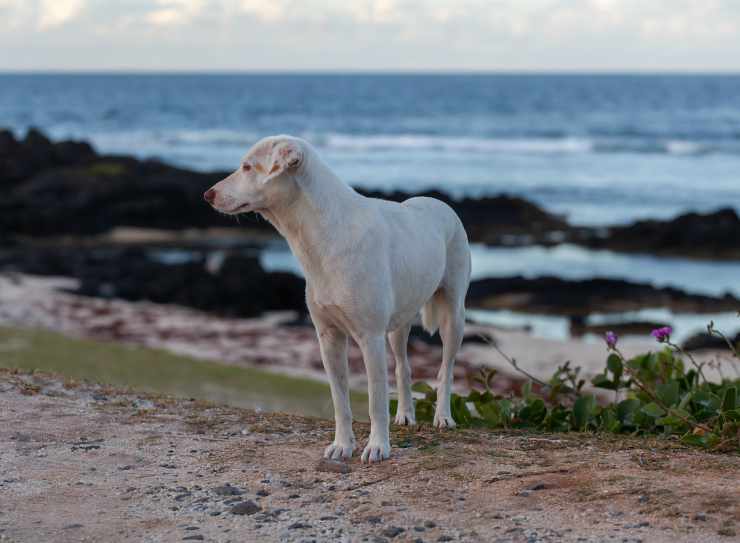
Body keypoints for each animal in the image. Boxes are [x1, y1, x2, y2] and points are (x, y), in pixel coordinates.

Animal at [204, 136, 468, 464]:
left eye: (248, 167)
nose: (207, 195)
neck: (324, 233)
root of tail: (439, 202)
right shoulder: (328, 336)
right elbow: (340, 400)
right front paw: (342, 446)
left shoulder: (370, 338)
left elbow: (376, 400)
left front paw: (377, 447)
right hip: (398, 326)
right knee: (403, 367)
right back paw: (406, 415)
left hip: (453, 317)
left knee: (446, 369)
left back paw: (443, 417)